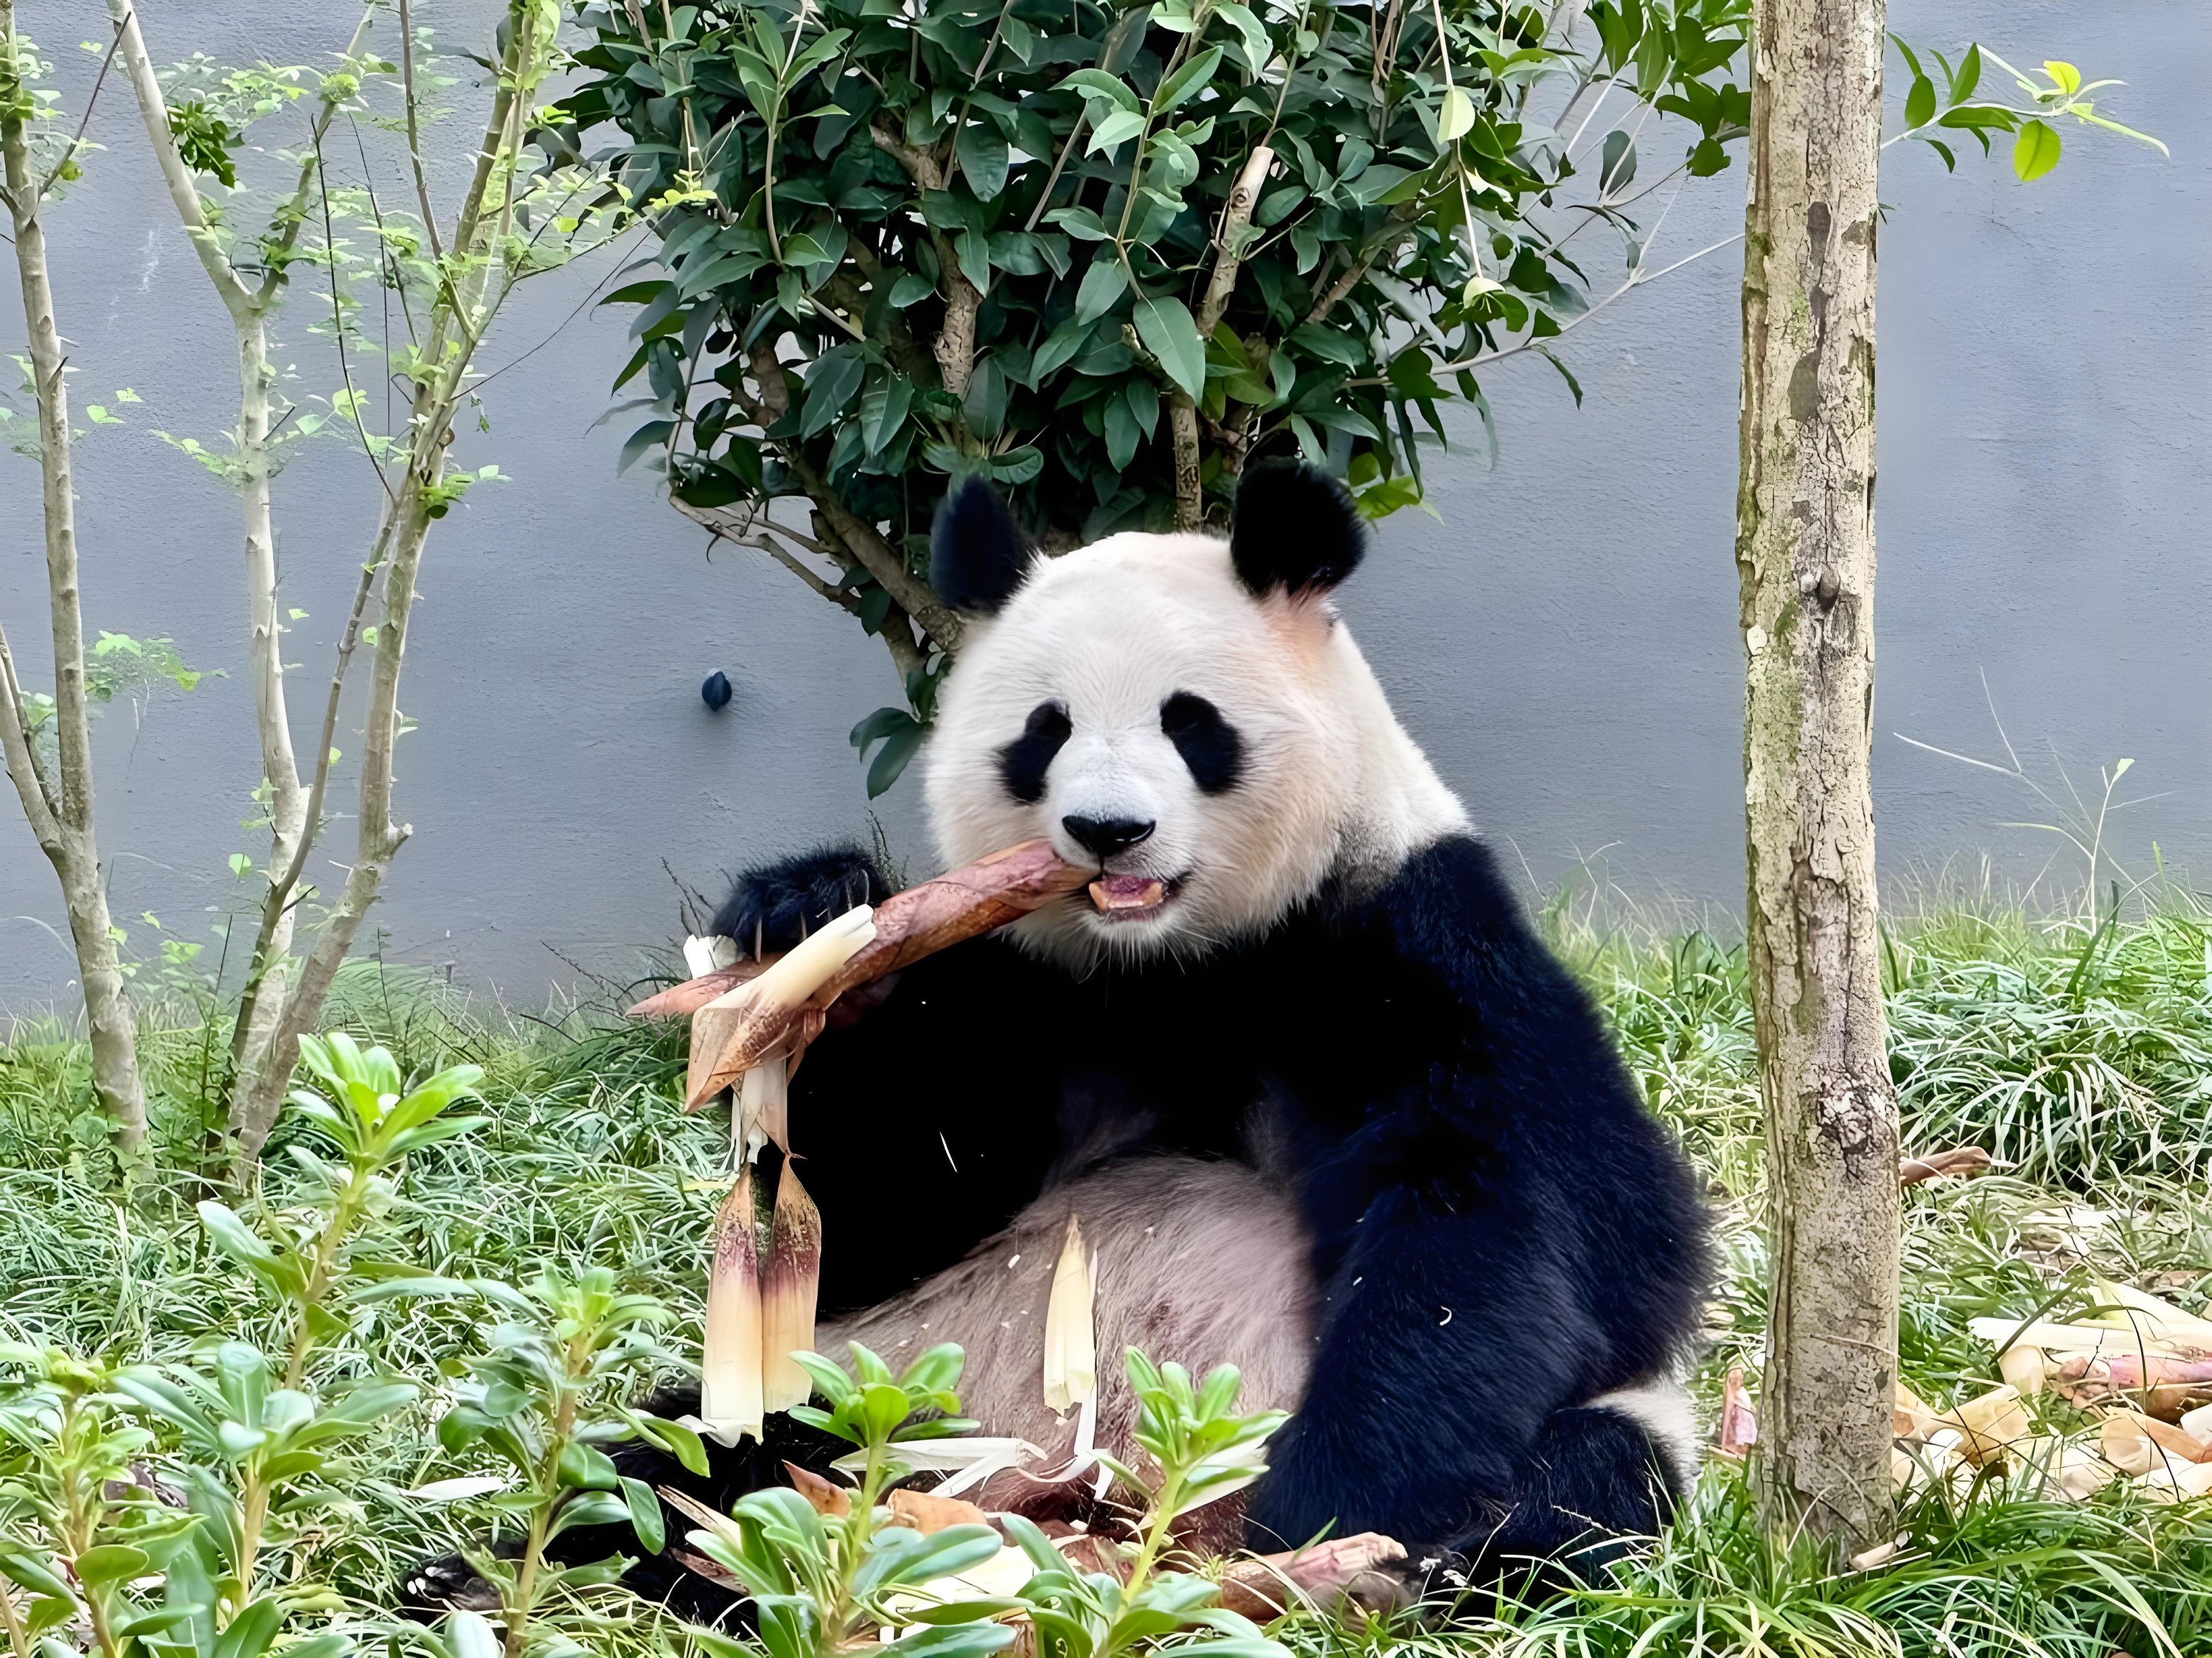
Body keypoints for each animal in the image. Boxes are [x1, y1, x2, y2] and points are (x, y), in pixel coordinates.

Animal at [471, 461, 1711, 1617]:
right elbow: (885, 1215)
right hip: (900, 1395)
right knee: (695, 1455)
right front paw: (816, 919)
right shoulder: (1030, 992)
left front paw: (1330, 1512)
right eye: (1044, 731)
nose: (1109, 831)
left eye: (1191, 723)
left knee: (1584, 1483)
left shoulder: (1404, 946)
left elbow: (1517, 1225)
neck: (1169, 960)